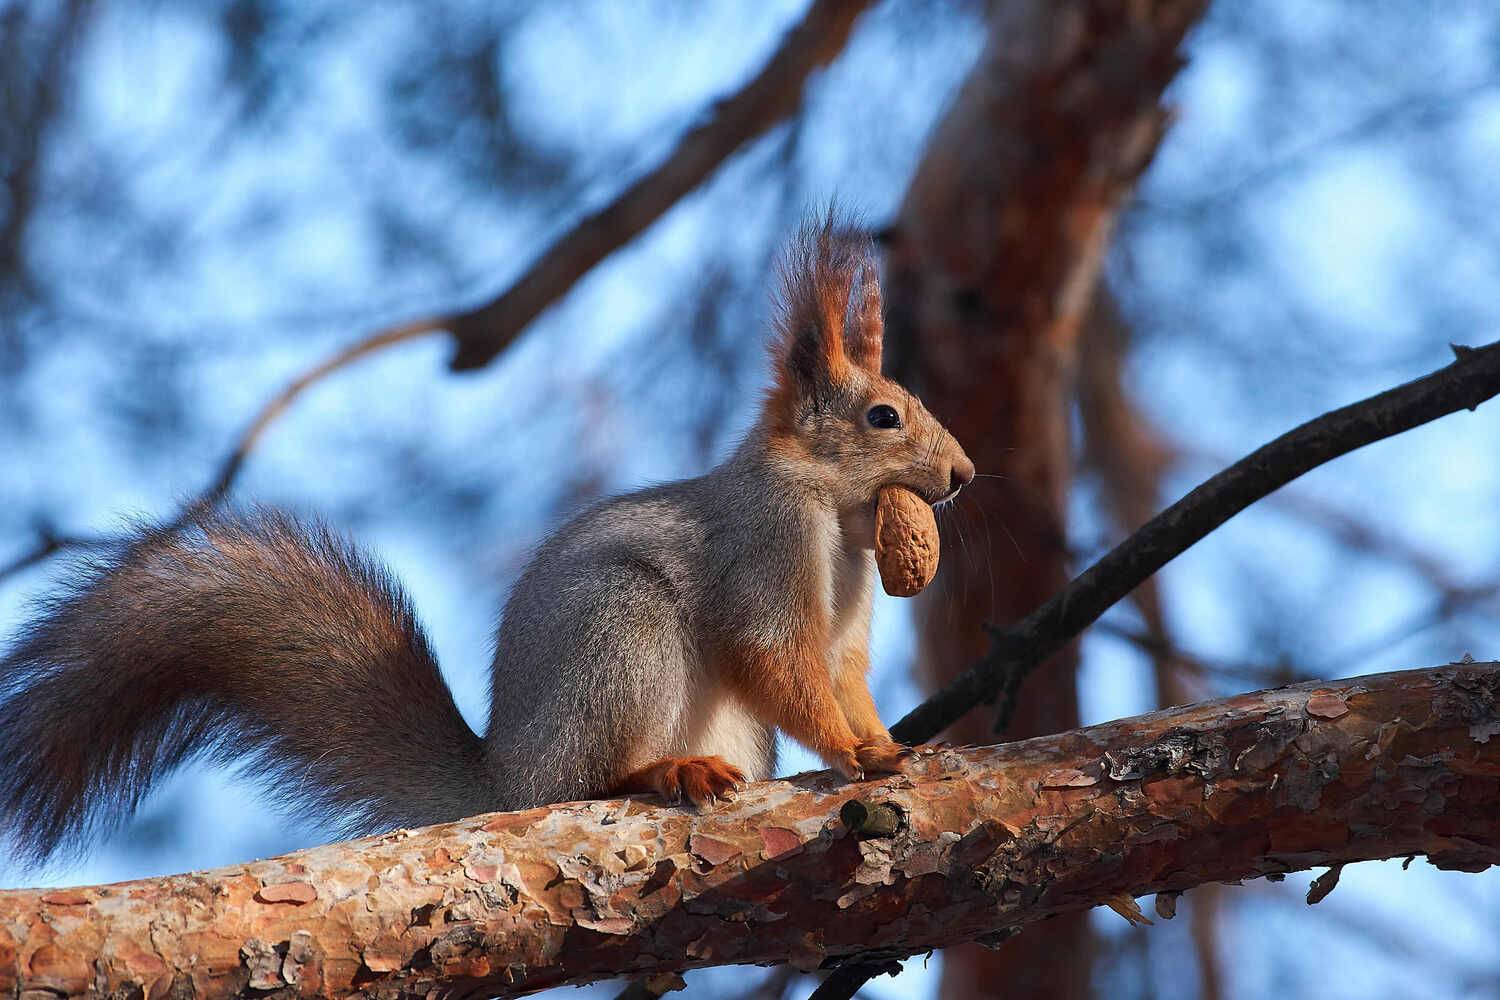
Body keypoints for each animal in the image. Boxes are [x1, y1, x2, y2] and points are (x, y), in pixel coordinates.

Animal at [0, 213, 974, 865]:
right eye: (884, 416)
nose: (964, 474)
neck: (837, 522)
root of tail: (504, 779)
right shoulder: (764, 550)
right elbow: (778, 659)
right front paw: (846, 750)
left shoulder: (847, 623)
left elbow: (845, 677)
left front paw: (887, 745)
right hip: (620, 636)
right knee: (584, 783)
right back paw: (659, 773)